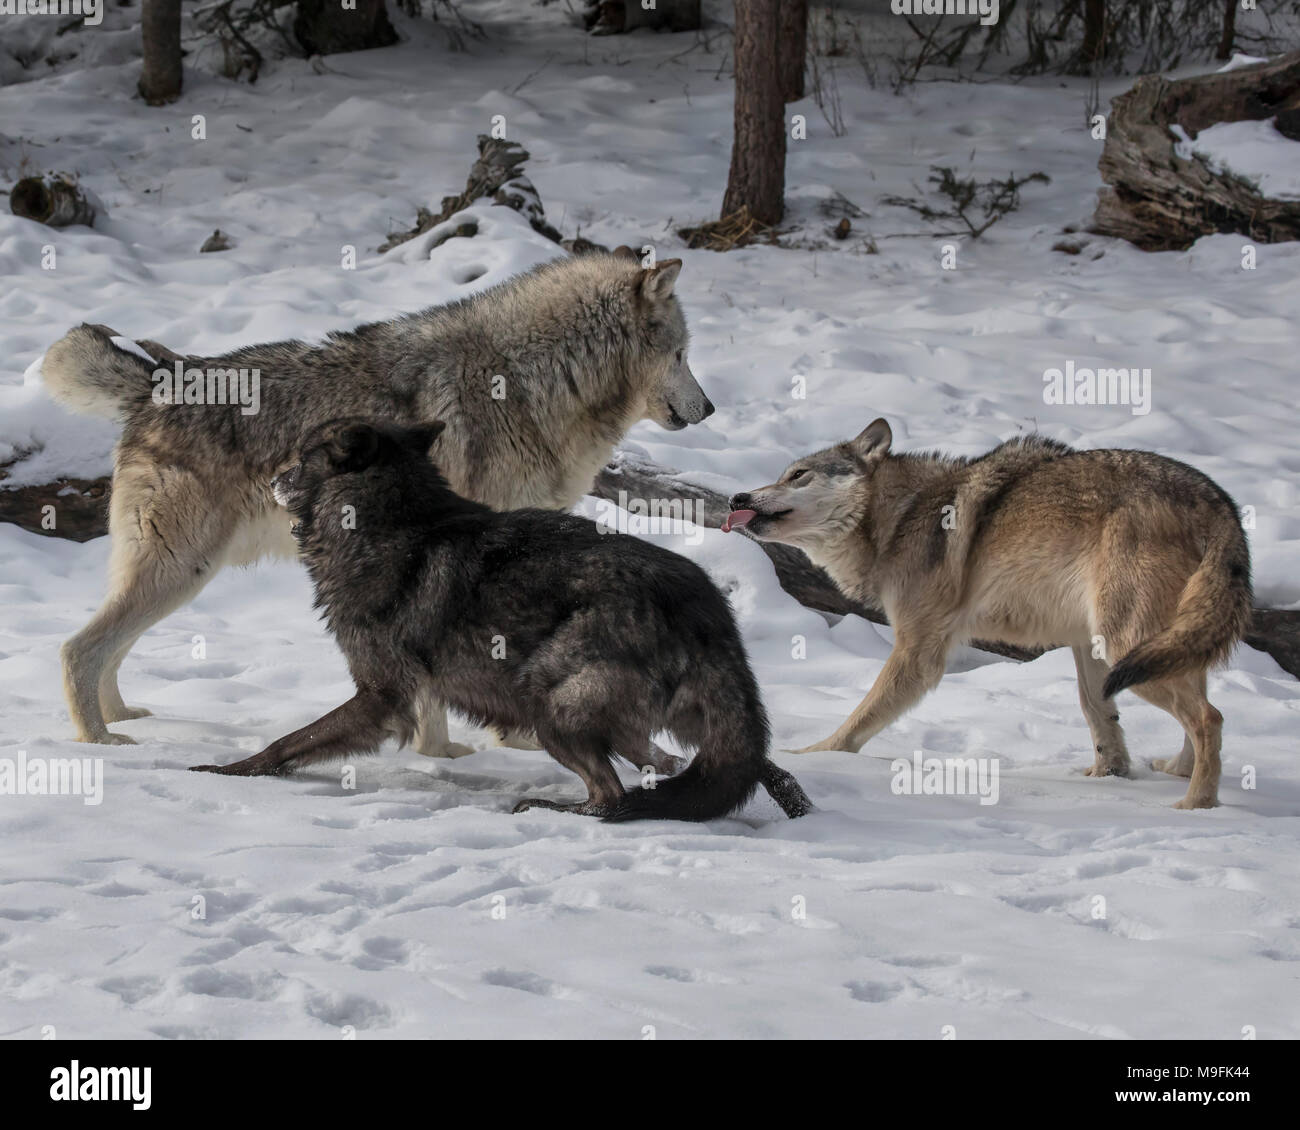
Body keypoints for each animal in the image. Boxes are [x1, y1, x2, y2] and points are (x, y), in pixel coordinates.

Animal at [43, 250, 712, 754]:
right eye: (681, 353)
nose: (709, 408)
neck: (533, 380)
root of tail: (161, 378)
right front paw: (451, 753)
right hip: (181, 569)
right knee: (77, 649)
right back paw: (101, 743)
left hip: (178, 575)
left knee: (106, 649)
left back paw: (124, 719)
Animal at [189, 413, 811, 821]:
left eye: (300, 457)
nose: (271, 478)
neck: (388, 521)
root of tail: (702, 603)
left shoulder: (381, 697)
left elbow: (290, 742)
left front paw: (227, 774)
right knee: (700, 766)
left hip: (548, 703)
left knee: (612, 798)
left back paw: (551, 808)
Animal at [728, 418, 1253, 806]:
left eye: (797, 475)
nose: (737, 497)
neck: (900, 517)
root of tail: (1221, 503)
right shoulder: (1082, 644)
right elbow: (1097, 712)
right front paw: (1108, 773)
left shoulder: (918, 652)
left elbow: (859, 718)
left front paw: (816, 756)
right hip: (1135, 645)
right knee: (1201, 709)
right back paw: (1178, 772)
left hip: (1129, 645)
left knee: (1210, 718)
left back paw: (1196, 804)